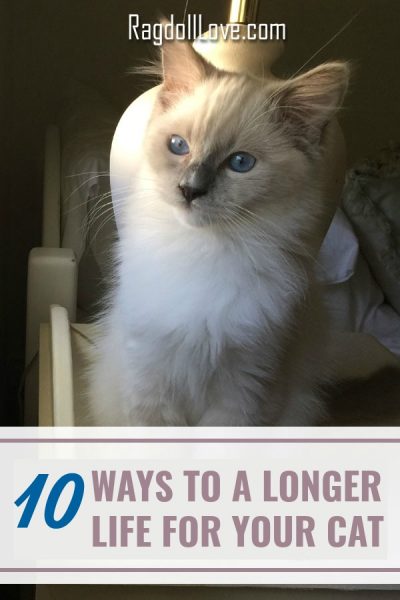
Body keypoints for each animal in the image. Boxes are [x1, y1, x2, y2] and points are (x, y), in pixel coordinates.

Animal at [86, 35, 348, 426]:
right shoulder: (150, 382)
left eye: (240, 163)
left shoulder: (244, 390)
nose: (189, 190)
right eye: (178, 146)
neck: (202, 252)